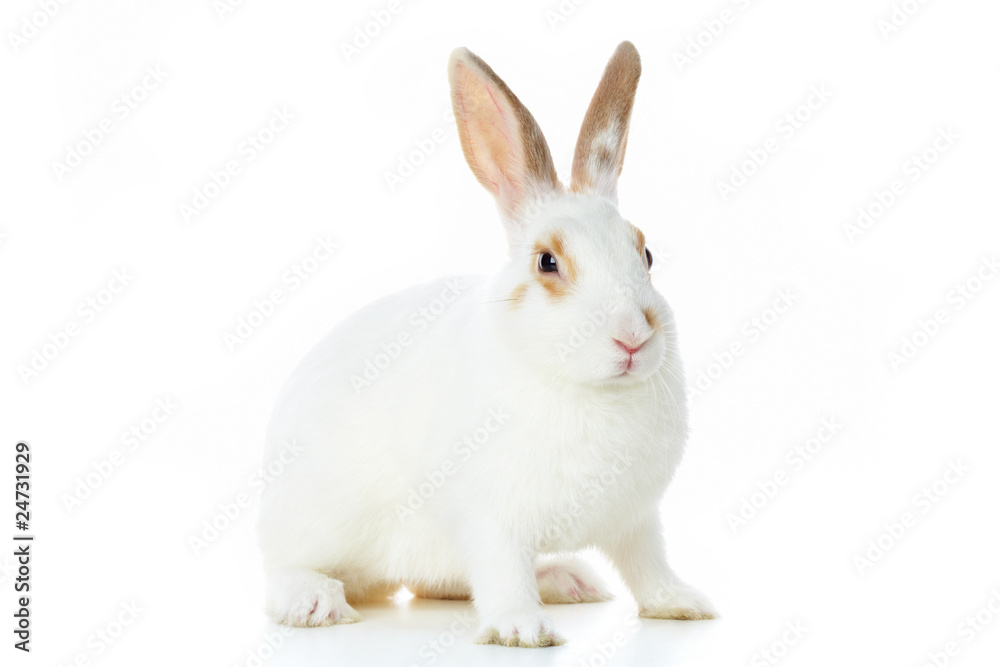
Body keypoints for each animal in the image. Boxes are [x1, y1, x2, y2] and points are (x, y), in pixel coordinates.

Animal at [257, 40, 716, 648]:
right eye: (547, 262)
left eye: (645, 254)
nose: (633, 337)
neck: (589, 389)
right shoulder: (492, 521)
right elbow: (502, 572)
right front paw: (523, 630)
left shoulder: (637, 519)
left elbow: (648, 566)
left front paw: (684, 603)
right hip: (314, 520)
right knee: (282, 570)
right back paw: (315, 602)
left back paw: (566, 578)